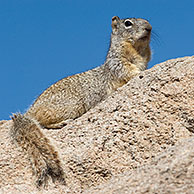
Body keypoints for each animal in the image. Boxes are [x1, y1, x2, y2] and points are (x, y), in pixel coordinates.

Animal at [10, 15, 152, 187]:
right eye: (128, 23)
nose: (149, 28)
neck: (138, 51)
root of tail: (29, 112)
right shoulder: (118, 63)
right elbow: (129, 71)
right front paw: (140, 73)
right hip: (71, 106)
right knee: (43, 122)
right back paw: (61, 123)